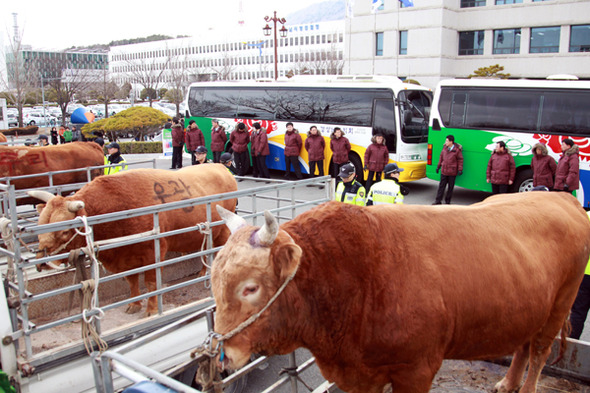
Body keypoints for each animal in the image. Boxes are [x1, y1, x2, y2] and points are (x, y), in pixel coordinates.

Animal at [29, 163, 238, 316]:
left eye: (64, 231)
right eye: (40, 225)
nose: (42, 263)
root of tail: (220, 166)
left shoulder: (153, 253)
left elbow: (152, 284)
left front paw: (152, 309)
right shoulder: (126, 259)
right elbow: (132, 281)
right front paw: (135, 304)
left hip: (223, 231)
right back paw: (203, 272)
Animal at [213, 192, 590, 392]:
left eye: (250, 288)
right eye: (214, 284)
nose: (224, 357)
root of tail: (560, 196)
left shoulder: (417, 369)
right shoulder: (362, 376)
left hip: (560, 304)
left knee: (538, 352)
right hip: (531, 305)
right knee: (523, 346)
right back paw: (508, 384)